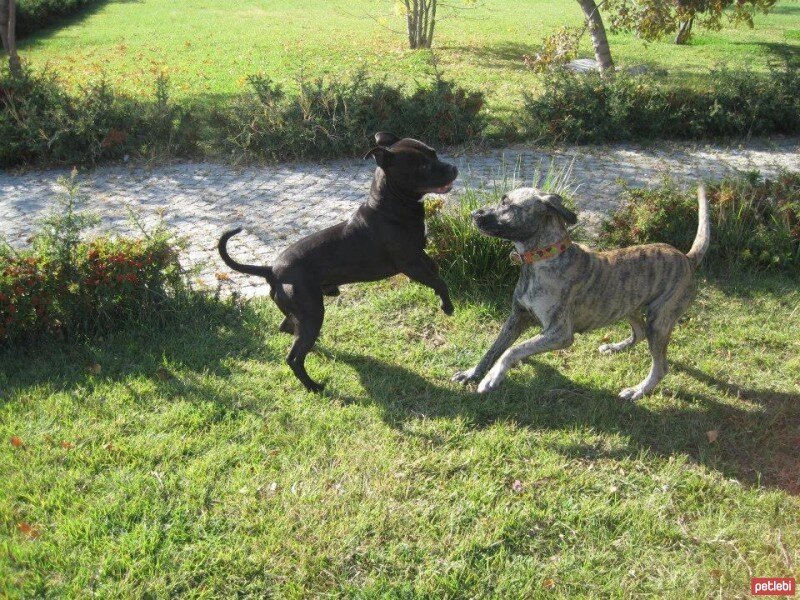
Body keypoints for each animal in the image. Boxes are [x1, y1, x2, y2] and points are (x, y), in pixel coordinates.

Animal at [217, 133, 456, 392]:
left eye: (434, 153)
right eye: (423, 166)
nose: (453, 168)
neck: (390, 205)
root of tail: (272, 270)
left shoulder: (419, 255)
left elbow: (436, 271)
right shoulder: (410, 264)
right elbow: (440, 282)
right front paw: (447, 306)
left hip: (304, 315)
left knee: (288, 329)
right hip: (312, 313)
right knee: (294, 357)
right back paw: (313, 386)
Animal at [454, 183, 708, 398]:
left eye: (507, 204)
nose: (474, 214)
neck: (543, 258)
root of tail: (687, 258)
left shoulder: (559, 333)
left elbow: (513, 350)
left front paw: (492, 377)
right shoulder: (517, 317)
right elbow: (495, 348)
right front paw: (472, 372)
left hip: (660, 319)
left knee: (660, 364)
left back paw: (638, 390)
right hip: (628, 306)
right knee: (639, 333)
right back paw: (615, 347)